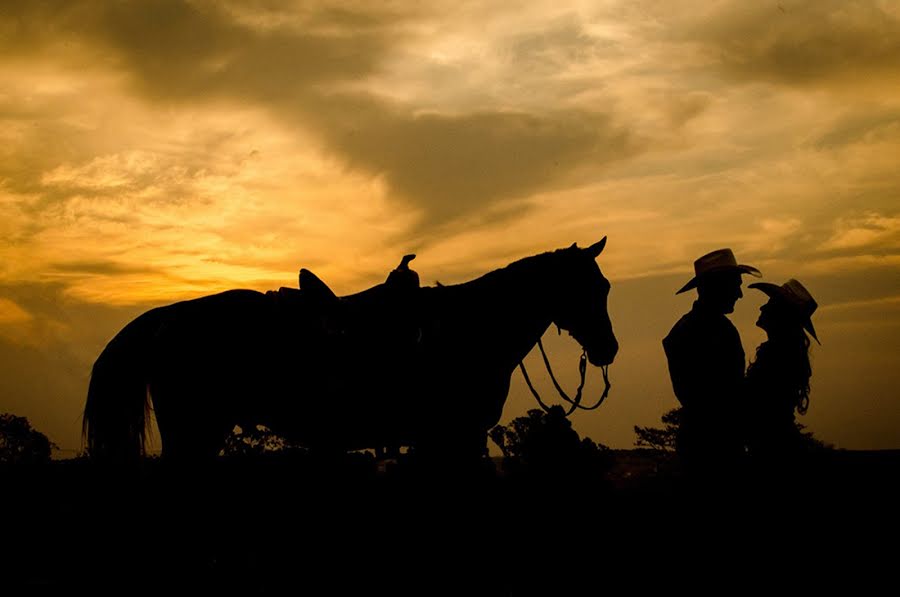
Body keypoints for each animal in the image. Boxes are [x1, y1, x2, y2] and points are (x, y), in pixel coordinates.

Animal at [84, 237, 620, 460]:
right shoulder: (452, 435)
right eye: (588, 288)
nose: (609, 348)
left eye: (607, 286)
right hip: (194, 430)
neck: (466, 328)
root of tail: (165, 316)